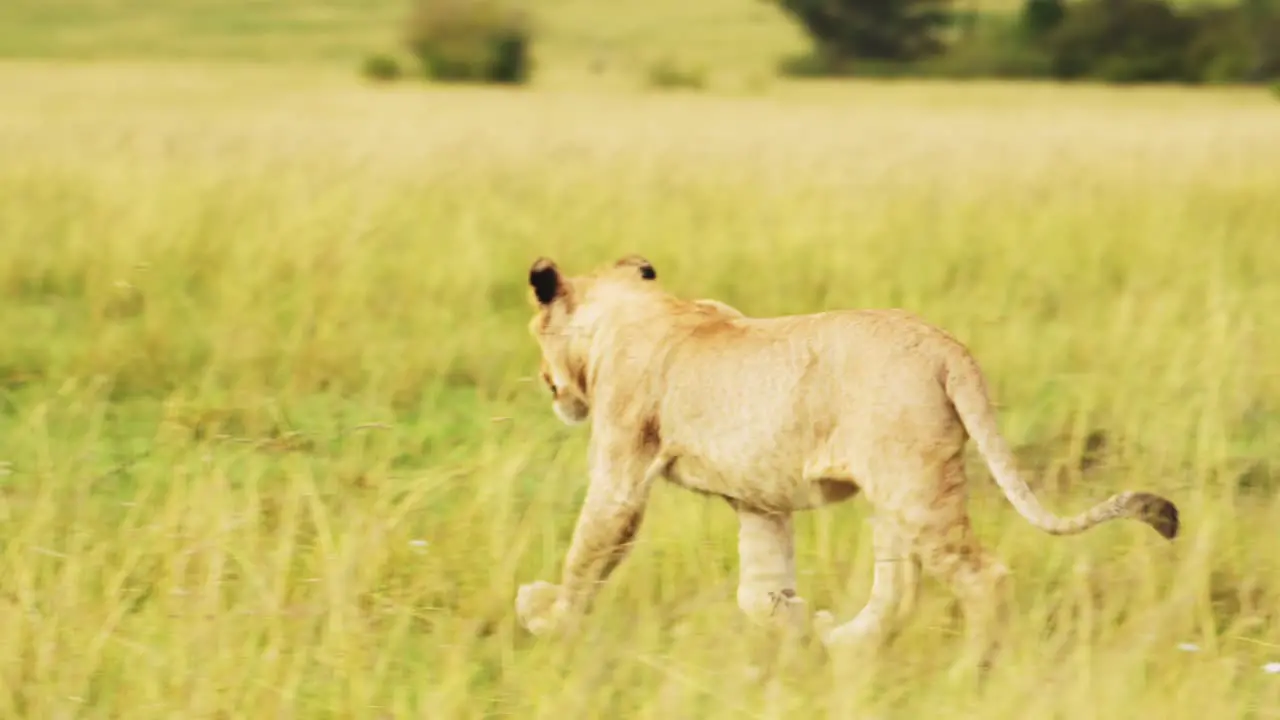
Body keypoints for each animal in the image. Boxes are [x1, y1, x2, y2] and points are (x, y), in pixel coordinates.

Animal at [512, 253, 1177, 666]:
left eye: (535, 330)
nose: (546, 383)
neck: (634, 311)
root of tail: (946, 347)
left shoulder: (621, 473)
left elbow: (589, 551)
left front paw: (549, 617)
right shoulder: (758, 501)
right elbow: (759, 587)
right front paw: (793, 623)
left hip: (916, 490)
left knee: (984, 578)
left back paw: (971, 670)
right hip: (895, 490)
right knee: (899, 588)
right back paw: (845, 641)